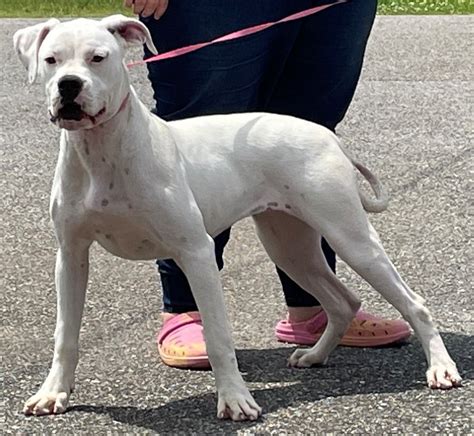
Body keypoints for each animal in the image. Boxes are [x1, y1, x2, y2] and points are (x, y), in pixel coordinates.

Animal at [13, 15, 460, 420]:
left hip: (350, 237)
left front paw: (234, 400)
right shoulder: (71, 256)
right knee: (342, 301)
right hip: (290, 247)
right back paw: (315, 355)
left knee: (414, 303)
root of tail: (328, 136)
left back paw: (441, 368)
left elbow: (218, 337)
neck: (103, 150)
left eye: (98, 58)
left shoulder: (196, 253)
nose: (68, 85)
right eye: (51, 59)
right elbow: (65, 334)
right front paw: (53, 393)